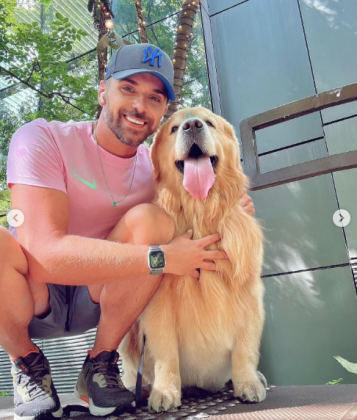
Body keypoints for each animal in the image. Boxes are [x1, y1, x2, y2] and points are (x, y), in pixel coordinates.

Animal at [119, 107, 264, 410]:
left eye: (209, 122)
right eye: (174, 128)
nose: (192, 125)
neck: (201, 213)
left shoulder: (250, 295)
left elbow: (245, 348)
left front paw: (247, 382)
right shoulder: (158, 305)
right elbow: (166, 353)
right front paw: (165, 391)